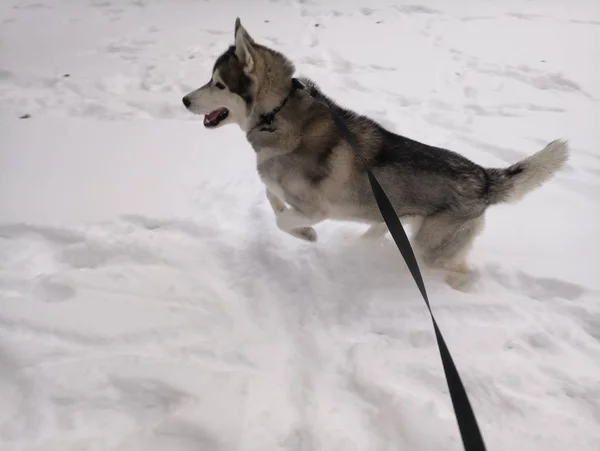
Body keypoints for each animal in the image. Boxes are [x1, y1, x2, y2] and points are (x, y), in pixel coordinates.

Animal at [182, 18, 568, 290]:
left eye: (218, 84)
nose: (184, 99)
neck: (276, 113)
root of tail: (484, 177)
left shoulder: (318, 208)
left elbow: (283, 219)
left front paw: (307, 235)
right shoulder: (278, 184)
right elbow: (271, 195)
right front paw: (298, 227)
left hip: (430, 248)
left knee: (458, 270)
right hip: (398, 220)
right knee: (379, 232)